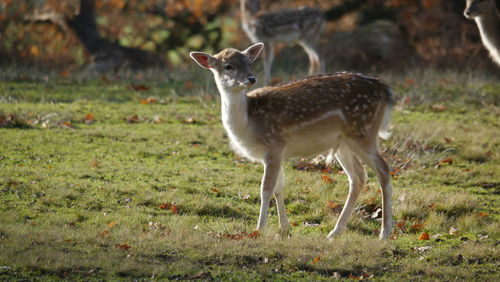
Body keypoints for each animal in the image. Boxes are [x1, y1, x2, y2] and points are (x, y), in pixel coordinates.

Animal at [189, 43, 392, 240]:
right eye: (228, 66)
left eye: (249, 63)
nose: (251, 78)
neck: (249, 124)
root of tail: (385, 90)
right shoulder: (275, 153)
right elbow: (278, 187)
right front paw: (284, 229)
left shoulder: (274, 145)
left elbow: (266, 188)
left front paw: (259, 229)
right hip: (344, 142)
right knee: (358, 177)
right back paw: (335, 232)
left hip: (363, 132)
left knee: (383, 170)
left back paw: (384, 232)